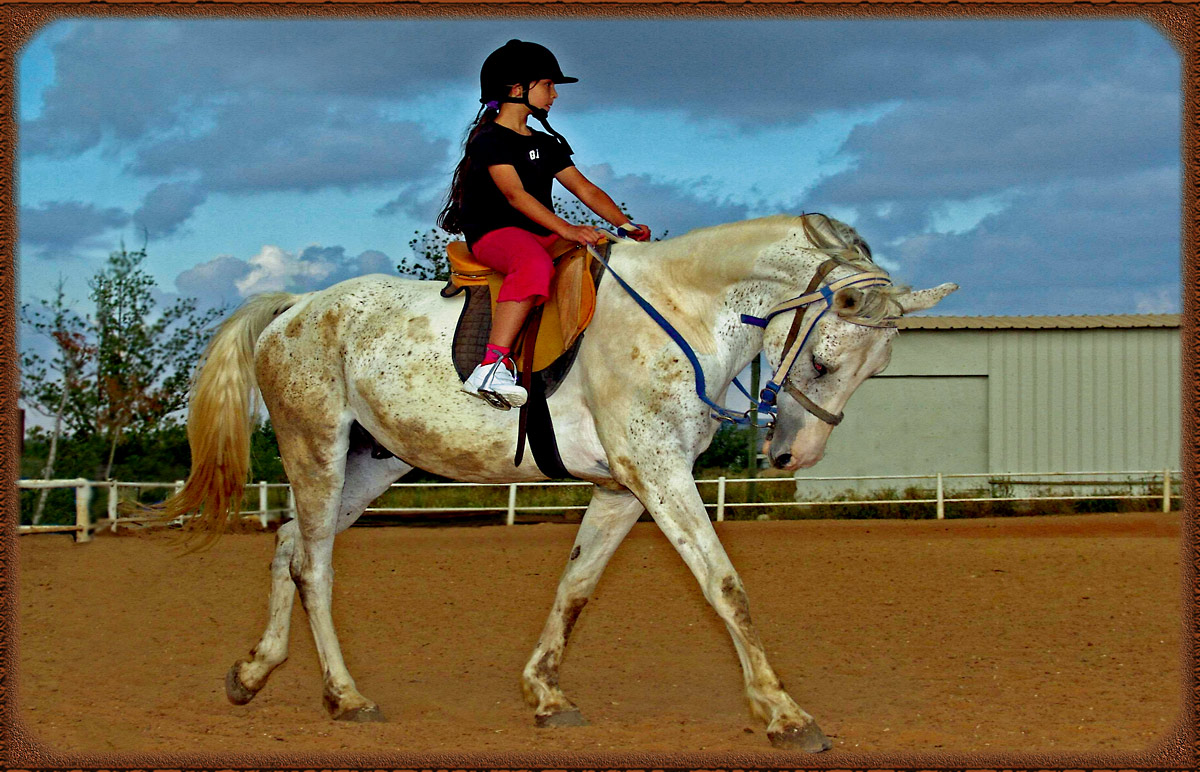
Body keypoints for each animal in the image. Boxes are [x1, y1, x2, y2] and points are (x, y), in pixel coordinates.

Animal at [154, 211, 955, 749]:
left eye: (877, 369)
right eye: (823, 361)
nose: (793, 456)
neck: (684, 311)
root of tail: (296, 307)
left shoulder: (624, 488)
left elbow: (575, 586)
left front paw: (544, 694)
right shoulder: (658, 473)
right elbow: (725, 586)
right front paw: (784, 713)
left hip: (368, 466)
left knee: (290, 544)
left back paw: (254, 672)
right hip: (316, 450)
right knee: (314, 566)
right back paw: (345, 697)